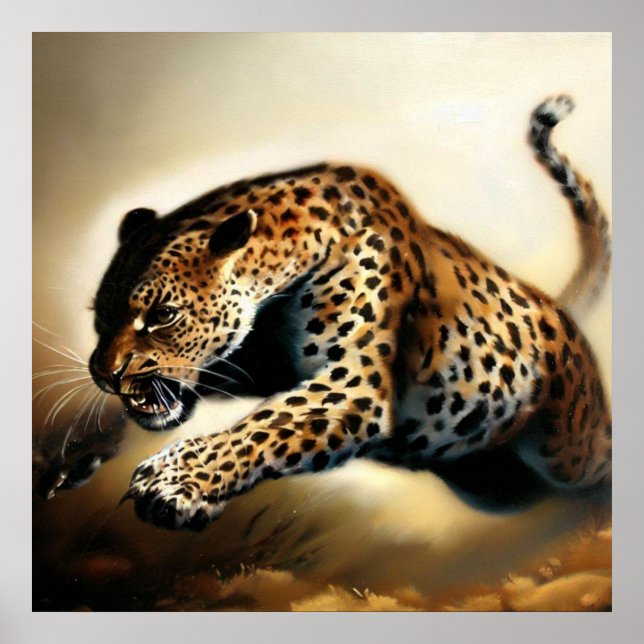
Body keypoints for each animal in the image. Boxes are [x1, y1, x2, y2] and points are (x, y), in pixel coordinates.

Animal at [86, 95, 611, 530]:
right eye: (98, 316)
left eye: (163, 314)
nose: (105, 375)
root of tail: (556, 309)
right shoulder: (261, 361)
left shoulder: (355, 382)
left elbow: (266, 426)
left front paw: (175, 478)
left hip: (572, 450)